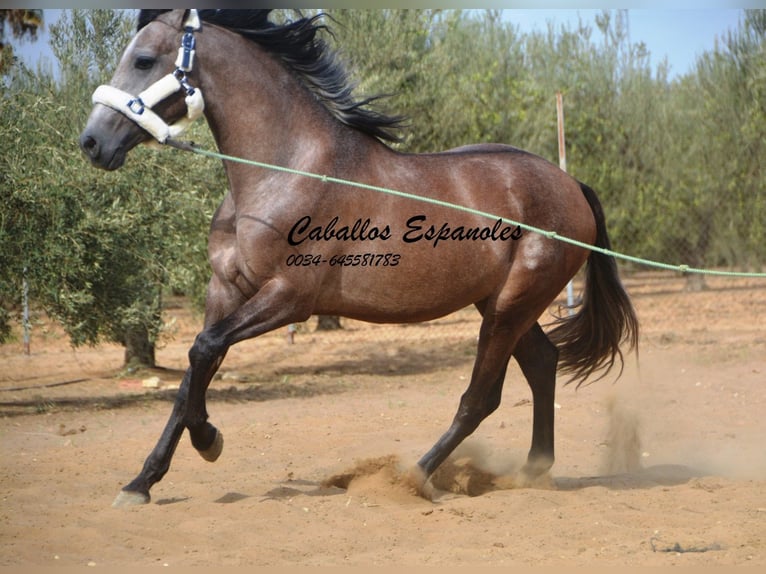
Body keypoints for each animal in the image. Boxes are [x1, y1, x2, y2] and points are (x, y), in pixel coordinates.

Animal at [79, 10, 640, 508]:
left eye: (144, 60)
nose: (92, 143)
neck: (286, 171)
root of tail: (572, 184)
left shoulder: (291, 298)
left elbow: (203, 350)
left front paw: (208, 440)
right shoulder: (226, 289)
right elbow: (195, 370)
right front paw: (142, 482)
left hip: (511, 306)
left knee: (482, 397)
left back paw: (412, 476)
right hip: (501, 304)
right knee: (543, 363)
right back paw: (532, 470)